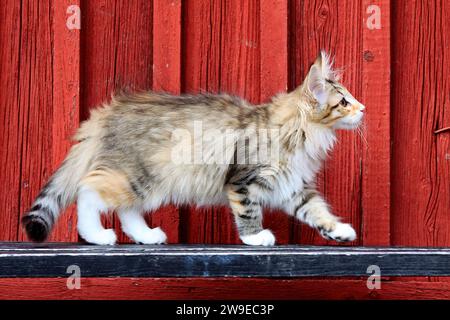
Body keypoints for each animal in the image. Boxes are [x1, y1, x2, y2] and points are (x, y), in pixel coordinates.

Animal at [22, 50, 364, 245]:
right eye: (343, 102)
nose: (363, 109)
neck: (301, 134)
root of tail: (106, 112)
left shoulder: (293, 186)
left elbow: (316, 210)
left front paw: (339, 231)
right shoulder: (244, 180)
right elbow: (248, 211)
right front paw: (256, 237)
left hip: (146, 182)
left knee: (126, 209)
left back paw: (147, 236)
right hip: (135, 175)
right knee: (87, 191)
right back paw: (97, 236)